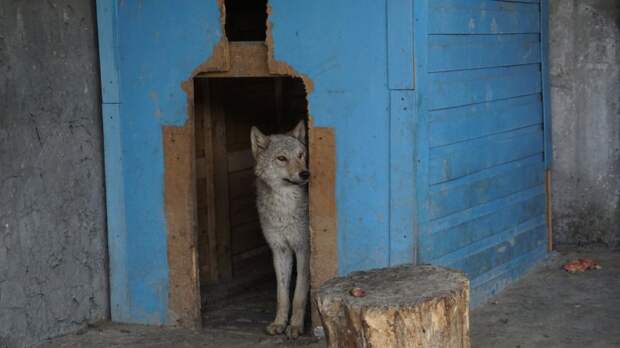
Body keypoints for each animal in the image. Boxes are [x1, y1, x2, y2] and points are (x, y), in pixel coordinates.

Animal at [249, 121, 310, 338]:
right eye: (282, 158)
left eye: (301, 155)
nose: (305, 173)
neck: (284, 208)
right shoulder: (280, 250)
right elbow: (282, 294)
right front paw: (279, 323)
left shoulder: (303, 249)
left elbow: (299, 293)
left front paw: (296, 326)